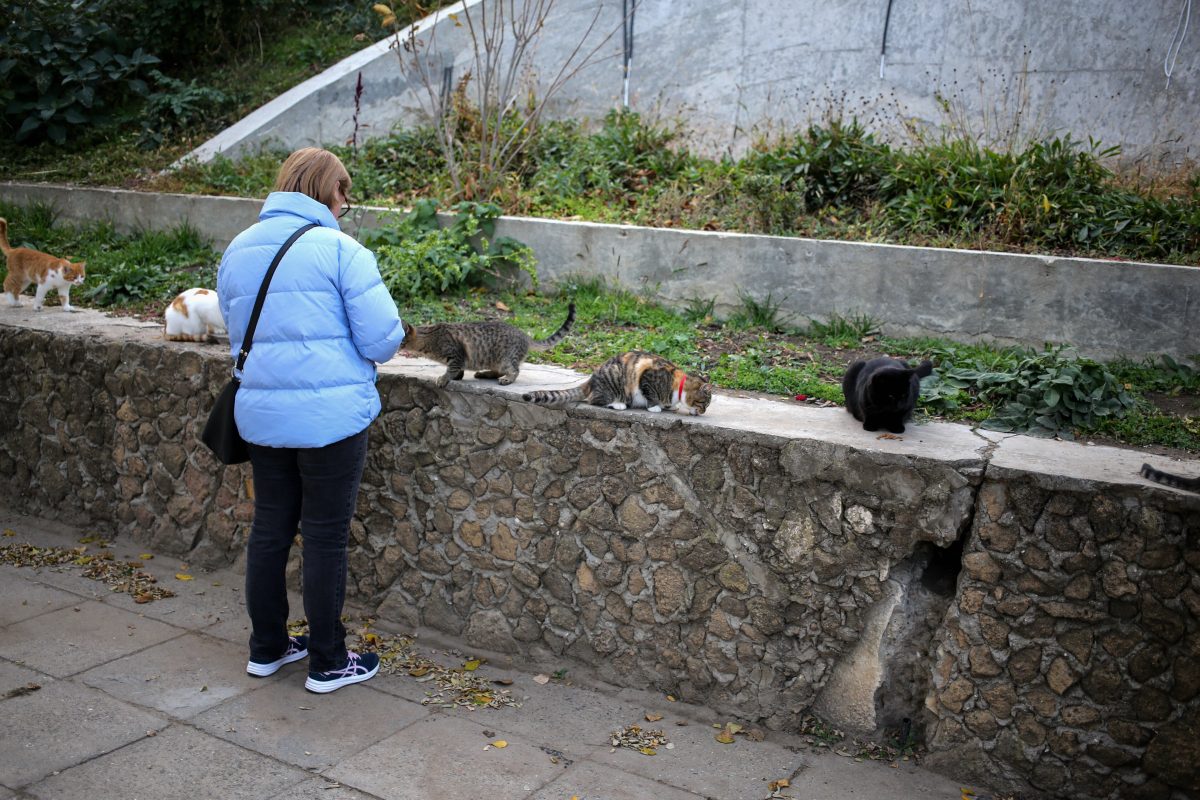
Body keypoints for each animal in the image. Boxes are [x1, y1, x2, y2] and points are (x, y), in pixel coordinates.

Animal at [400, 303, 573, 388]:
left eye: (401, 340)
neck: (429, 338)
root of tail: (525, 335)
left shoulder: (456, 354)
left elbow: (451, 369)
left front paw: (443, 379)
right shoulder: (459, 358)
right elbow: (457, 370)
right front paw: (457, 377)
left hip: (506, 359)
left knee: (515, 370)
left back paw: (507, 379)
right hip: (497, 360)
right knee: (498, 371)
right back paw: (485, 373)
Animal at [523, 352, 710, 419]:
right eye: (704, 403)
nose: (703, 412)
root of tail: (591, 379)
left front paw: (669, 406)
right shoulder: (647, 376)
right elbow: (650, 394)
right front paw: (655, 407)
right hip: (614, 381)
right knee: (594, 400)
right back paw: (618, 404)